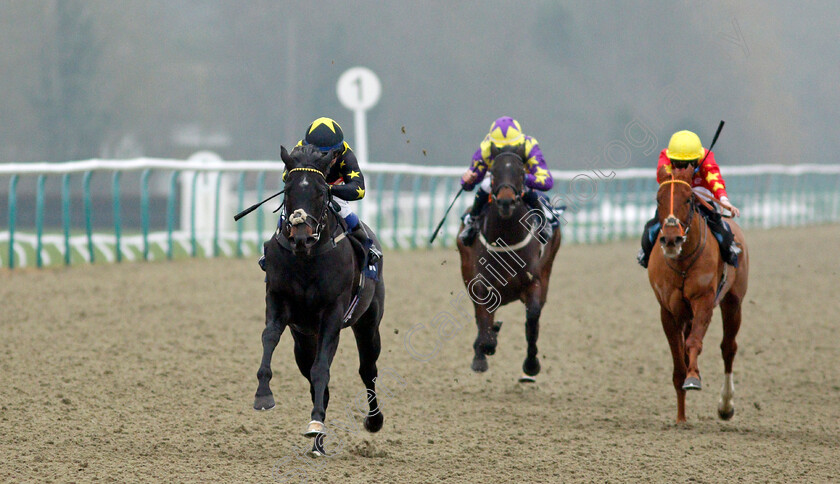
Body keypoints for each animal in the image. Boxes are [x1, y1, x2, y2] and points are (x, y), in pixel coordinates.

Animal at [254, 144, 386, 458]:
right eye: (288, 190)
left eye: (320, 192)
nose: (300, 235)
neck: (307, 258)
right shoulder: (277, 301)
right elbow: (269, 337)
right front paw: (263, 394)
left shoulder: (332, 314)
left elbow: (322, 370)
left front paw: (316, 424)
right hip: (303, 339)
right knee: (316, 381)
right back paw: (318, 439)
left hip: (368, 323)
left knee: (367, 370)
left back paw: (371, 421)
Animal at [456, 147, 560, 382]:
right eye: (493, 172)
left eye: (521, 172)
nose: (505, 202)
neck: (507, 239)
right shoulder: (481, 284)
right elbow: (484, 327)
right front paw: (484, 349)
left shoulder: (534, 281)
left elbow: (532, 320)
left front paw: (531, 365)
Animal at [648, 167, 752, 424]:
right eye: (659, 199)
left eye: (688, 199)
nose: (671, 239)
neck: (683, 262)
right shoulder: (668, 310)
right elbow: (678, 357)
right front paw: (680, 417)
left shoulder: (704, 300)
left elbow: (694, 342)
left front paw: (694, 377)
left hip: (733, 302)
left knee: (728, 348)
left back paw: (726, 405)